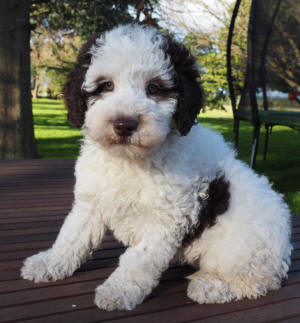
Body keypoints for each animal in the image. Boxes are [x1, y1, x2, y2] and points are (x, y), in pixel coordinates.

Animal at [20, 24, 290, 312]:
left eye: (154, 88)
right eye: (106, 85)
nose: (124, 124)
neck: (130, 160)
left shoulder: (166, 219)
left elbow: (138, 260)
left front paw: (119, 290)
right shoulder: (91, 202)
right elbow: (71, 236)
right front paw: (49, 263)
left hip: (243, 251)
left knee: (256, 282)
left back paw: (212, 287)